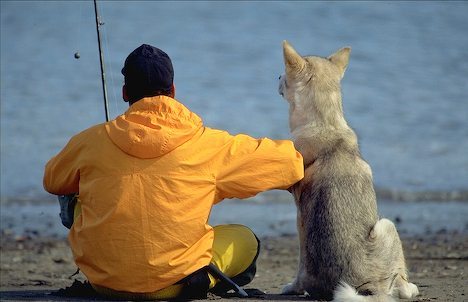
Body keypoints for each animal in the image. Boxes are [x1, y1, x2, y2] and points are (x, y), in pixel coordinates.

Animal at [278, 40, 420, 302]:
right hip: (388, 226)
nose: (277, 76)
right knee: (403, 288)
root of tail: (367, 288)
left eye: (284, 74)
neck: (326, 123)